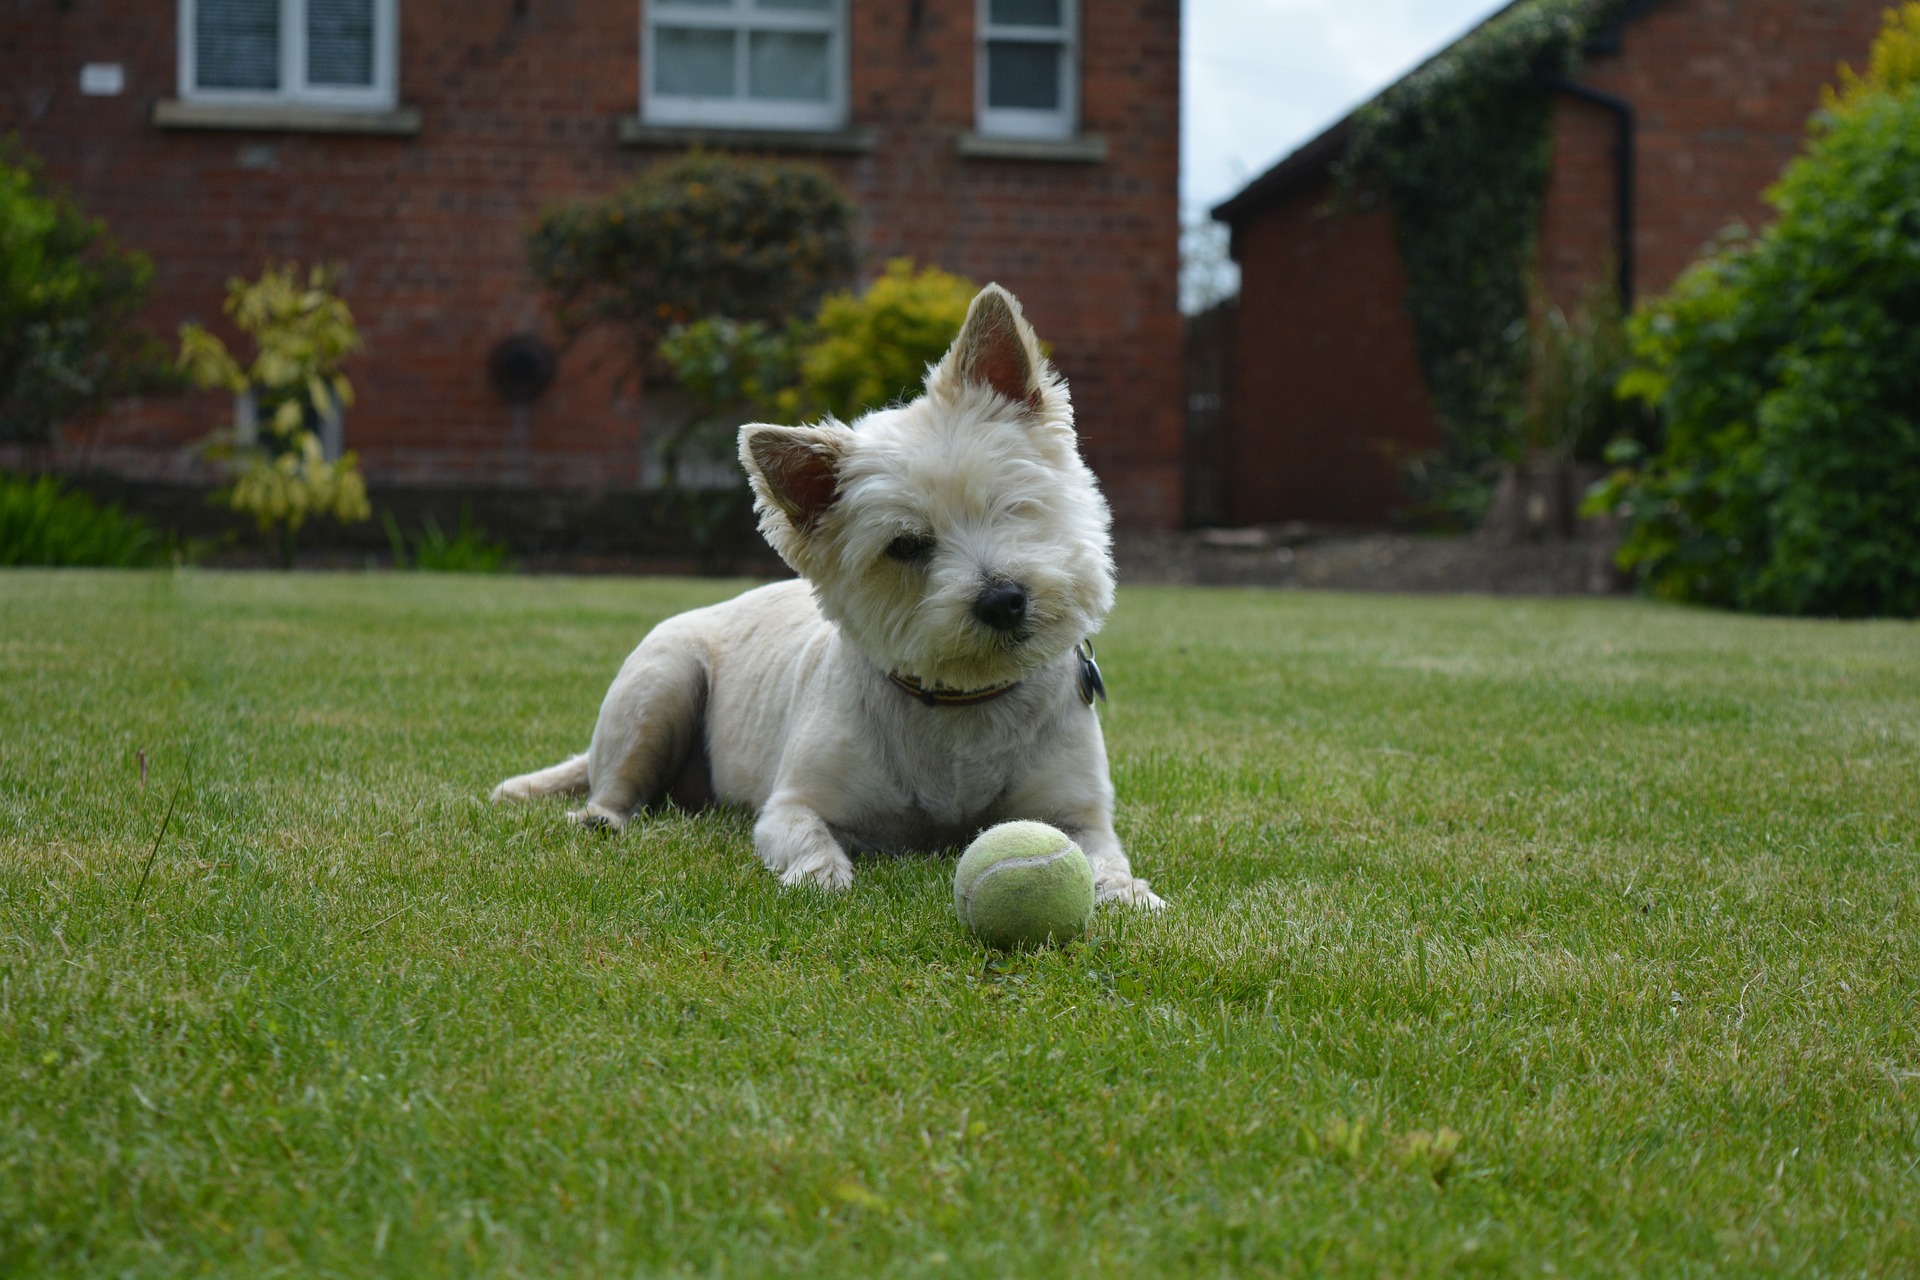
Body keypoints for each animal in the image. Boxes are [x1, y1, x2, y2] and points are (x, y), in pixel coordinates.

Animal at [487, 287, 1159, 909]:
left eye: (1012, 505)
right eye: (905, 545)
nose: (1003, 601)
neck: (963, 705)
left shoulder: (1079, 815)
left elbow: (1102, 855)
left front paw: (1127, 893)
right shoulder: (791, 804)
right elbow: (808, 837)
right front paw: (821, 877)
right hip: (659, 686)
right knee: (615, 784)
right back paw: (600, 818)